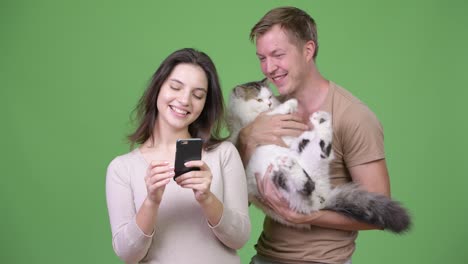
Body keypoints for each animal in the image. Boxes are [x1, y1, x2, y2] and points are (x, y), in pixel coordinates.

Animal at [227, 79, 410, 233]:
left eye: (270, 96)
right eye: (259, 100)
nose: (270, 103)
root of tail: (324, 199)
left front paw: (292, 107)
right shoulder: (254, 123)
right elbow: (274, 113)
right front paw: (290, 104)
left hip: (310, 166)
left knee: (323, 153)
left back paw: (318, 125)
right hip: (279, 180)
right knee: (306, 185)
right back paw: (293, 162)